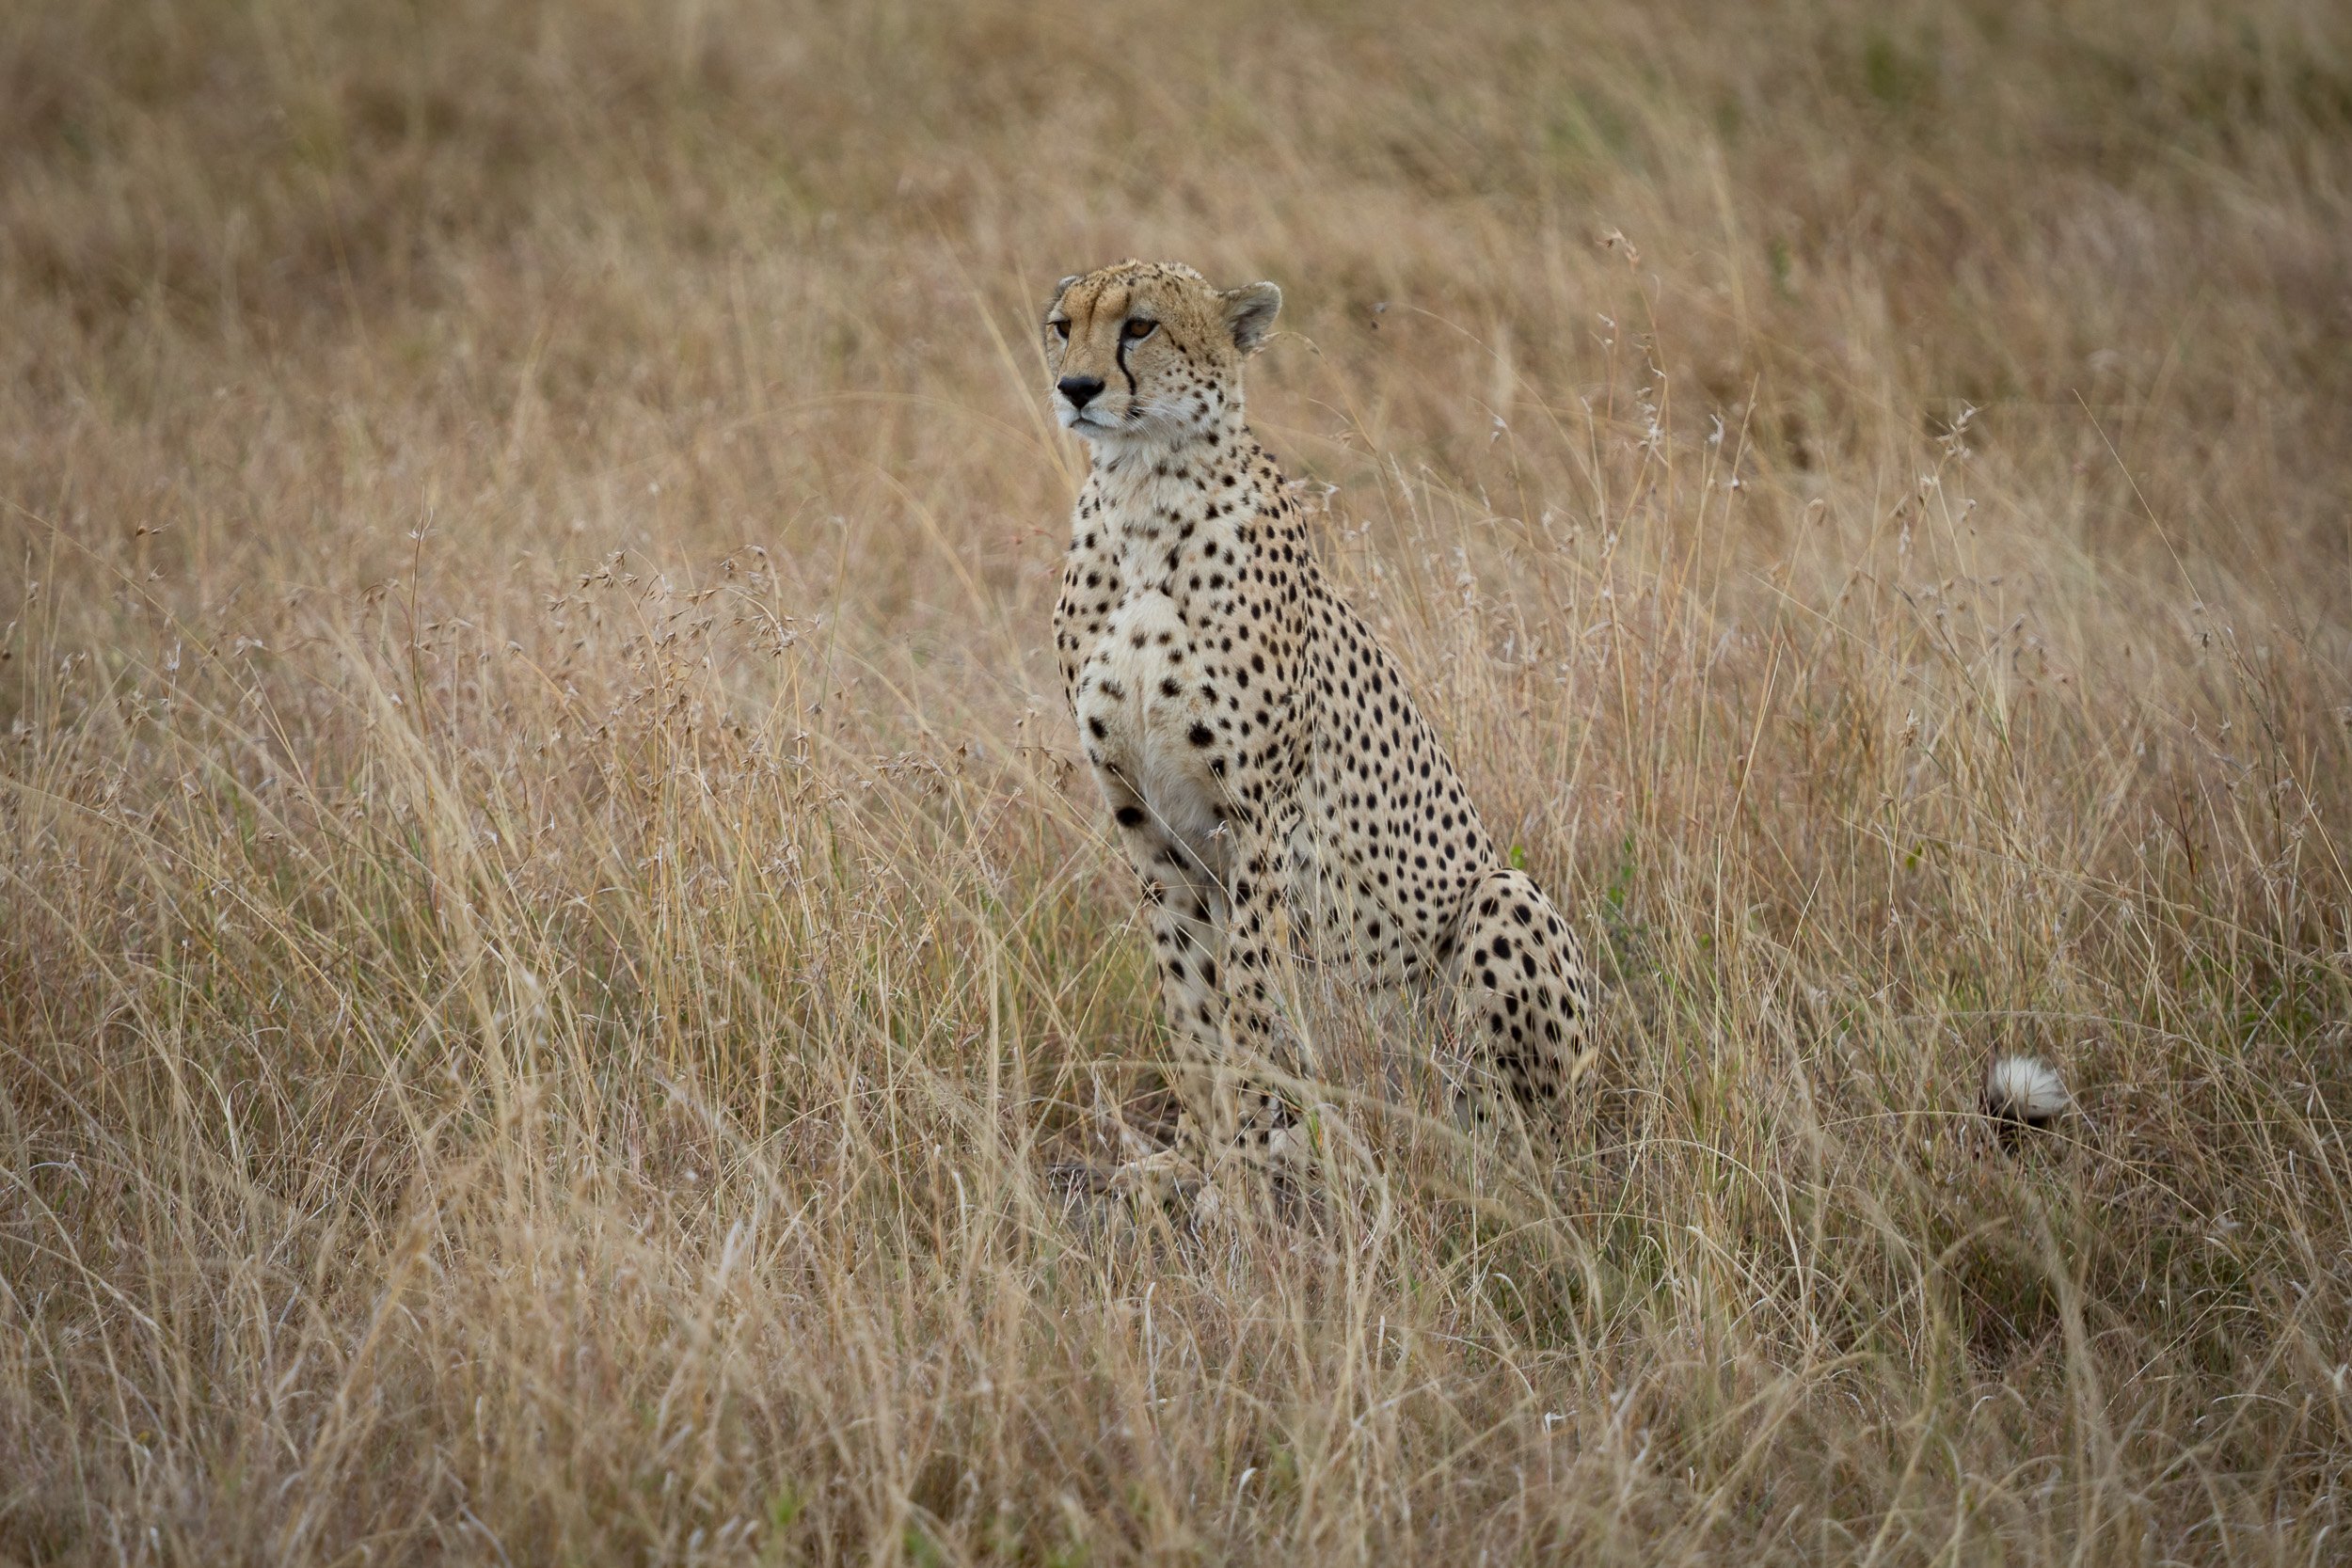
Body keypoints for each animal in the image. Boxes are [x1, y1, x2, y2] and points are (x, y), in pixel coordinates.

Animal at [1043, 259, 1597, 1212]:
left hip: (1502, 900)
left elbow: (1248, 1001)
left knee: (1517, 1128)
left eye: (1140, 326)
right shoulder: (1146, 823)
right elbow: (1189, 1000)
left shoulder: (1258, 818)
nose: (1075, 388)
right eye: (1061, 325)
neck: (1142, 493)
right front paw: (1195, 1156)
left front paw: (1236, 1173)